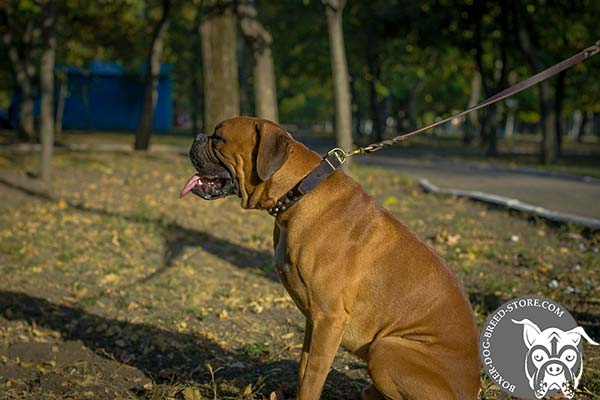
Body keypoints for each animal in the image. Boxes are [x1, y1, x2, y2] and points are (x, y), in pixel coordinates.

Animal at [180, 117, 480, 398]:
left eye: (218, 138)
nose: (197, 137)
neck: (298, 192)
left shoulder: (329, 318)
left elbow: (313, 375)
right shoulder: (313, 318)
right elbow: (303, 367)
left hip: (386, 347)